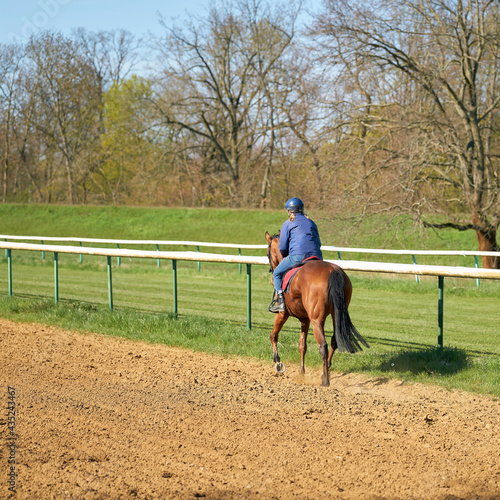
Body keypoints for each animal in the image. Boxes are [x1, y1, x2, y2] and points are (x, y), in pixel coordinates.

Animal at [266, 230, 368, 386]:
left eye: (268, 254)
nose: (271, 270)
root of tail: (334, 271)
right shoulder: (305, 319)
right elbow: (302, 345)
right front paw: (301, 372)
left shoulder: (282, 314)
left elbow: (273, 335)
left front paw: (278, 363)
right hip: (335, 314)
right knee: (334, 341)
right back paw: (325, 371)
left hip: (317, 319)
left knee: (323, 345)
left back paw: (325, 380)